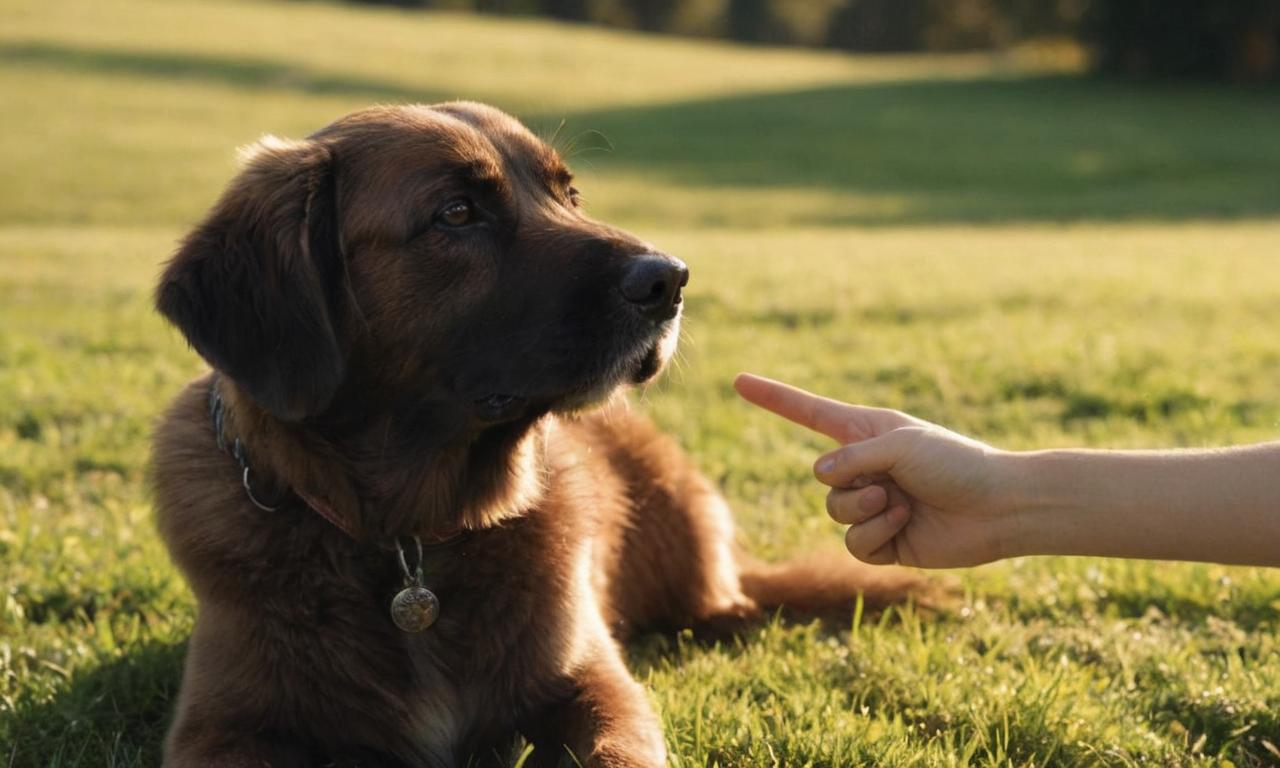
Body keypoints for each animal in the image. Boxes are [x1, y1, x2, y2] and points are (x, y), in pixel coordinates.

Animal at [152, 103, 921, 768]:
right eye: (457, 213)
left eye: (569, 194)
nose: (670, 281)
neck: (408, 542)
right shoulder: (221, 726)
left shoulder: (597, 684)